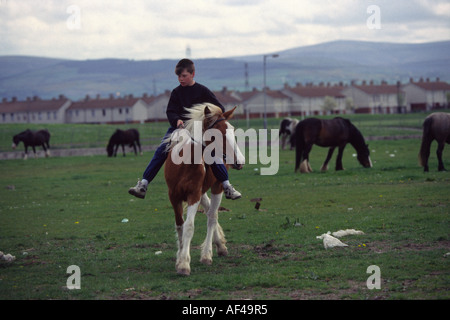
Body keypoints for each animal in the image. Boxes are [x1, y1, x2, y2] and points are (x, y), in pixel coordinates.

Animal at [163, 102, 244, 276]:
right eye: (217, 133)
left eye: (232, 129)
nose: (240, 161)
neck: (184, 163)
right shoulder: (174, 196)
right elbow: (179, 225)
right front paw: (180, 258)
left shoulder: (194, 194)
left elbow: (189, 226)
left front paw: (184, 264)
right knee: (208, 211)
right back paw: (219, 245)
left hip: (217, 187)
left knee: (212, 216)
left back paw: (207, 254)